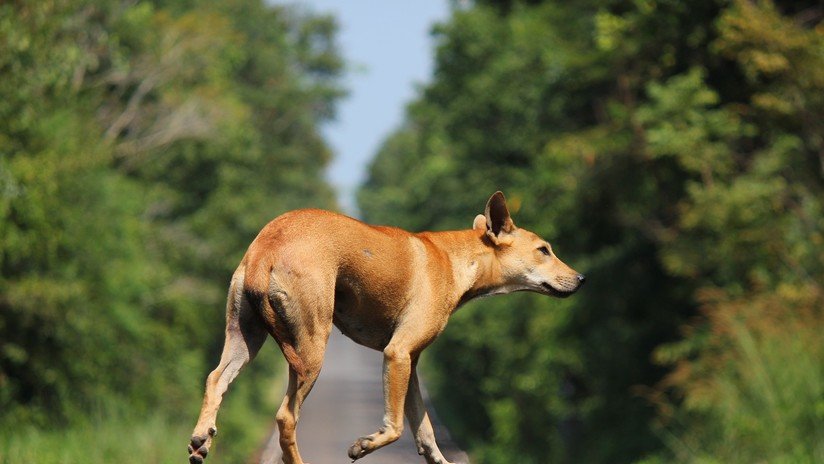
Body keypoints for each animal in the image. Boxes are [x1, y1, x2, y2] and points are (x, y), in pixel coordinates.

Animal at [187, 191, 584, 464]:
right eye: (544, 250)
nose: (581, 279)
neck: (457, 259)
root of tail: (265, 246)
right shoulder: (397, 353)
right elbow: (394, 427)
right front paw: (363, 446)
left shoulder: (410, 363)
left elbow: (425, 432)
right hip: (311, 348)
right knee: (286, 417)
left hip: (245, 339)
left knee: (215, 379)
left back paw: (201, 439)